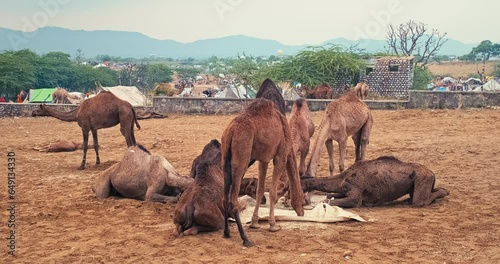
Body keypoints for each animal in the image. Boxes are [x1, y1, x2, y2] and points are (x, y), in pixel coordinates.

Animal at [223, 97, 304, 248]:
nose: (302, 212)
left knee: (225, 197)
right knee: (233, 199)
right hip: (242, 157)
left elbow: (260, 190)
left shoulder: (263, 159)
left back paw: (226, 232)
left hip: (225, 157)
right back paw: (246, 239)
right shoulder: (280, 156)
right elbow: (272, 192)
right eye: (302, 198)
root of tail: (231, 132)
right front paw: (273, 225)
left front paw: (254, 223)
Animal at [298, 156, 452, 207]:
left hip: (422, 179)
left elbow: (329, 201)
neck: (342, 179)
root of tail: (431, 172)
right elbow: (331, 195)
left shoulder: (355, 196)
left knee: (419, 201)